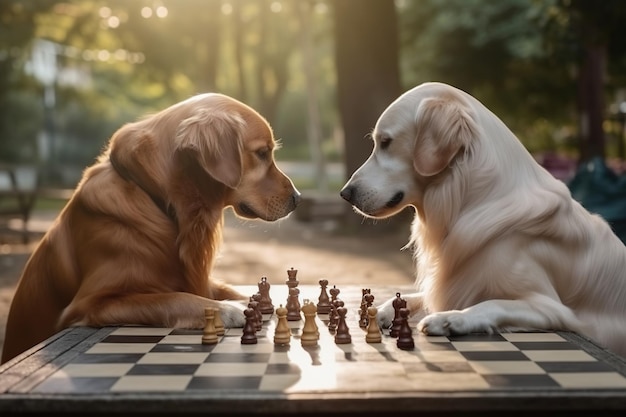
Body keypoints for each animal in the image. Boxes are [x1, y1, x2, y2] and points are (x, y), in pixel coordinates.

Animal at [2, 92, 300, 362]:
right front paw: (228, 309)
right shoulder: (91, 303)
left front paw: (255, 302)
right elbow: (173, 298)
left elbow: (230, 289)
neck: (158, 200)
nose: (298, 198)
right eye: (261, 153)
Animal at [342, 82, 624, 358]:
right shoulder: (451, 285)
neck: (471, 200)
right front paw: (382, 310)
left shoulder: (550, 307)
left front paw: (449, 319)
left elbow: (491, 304)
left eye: (386, 142)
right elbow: (414, 296)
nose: (345, 193)